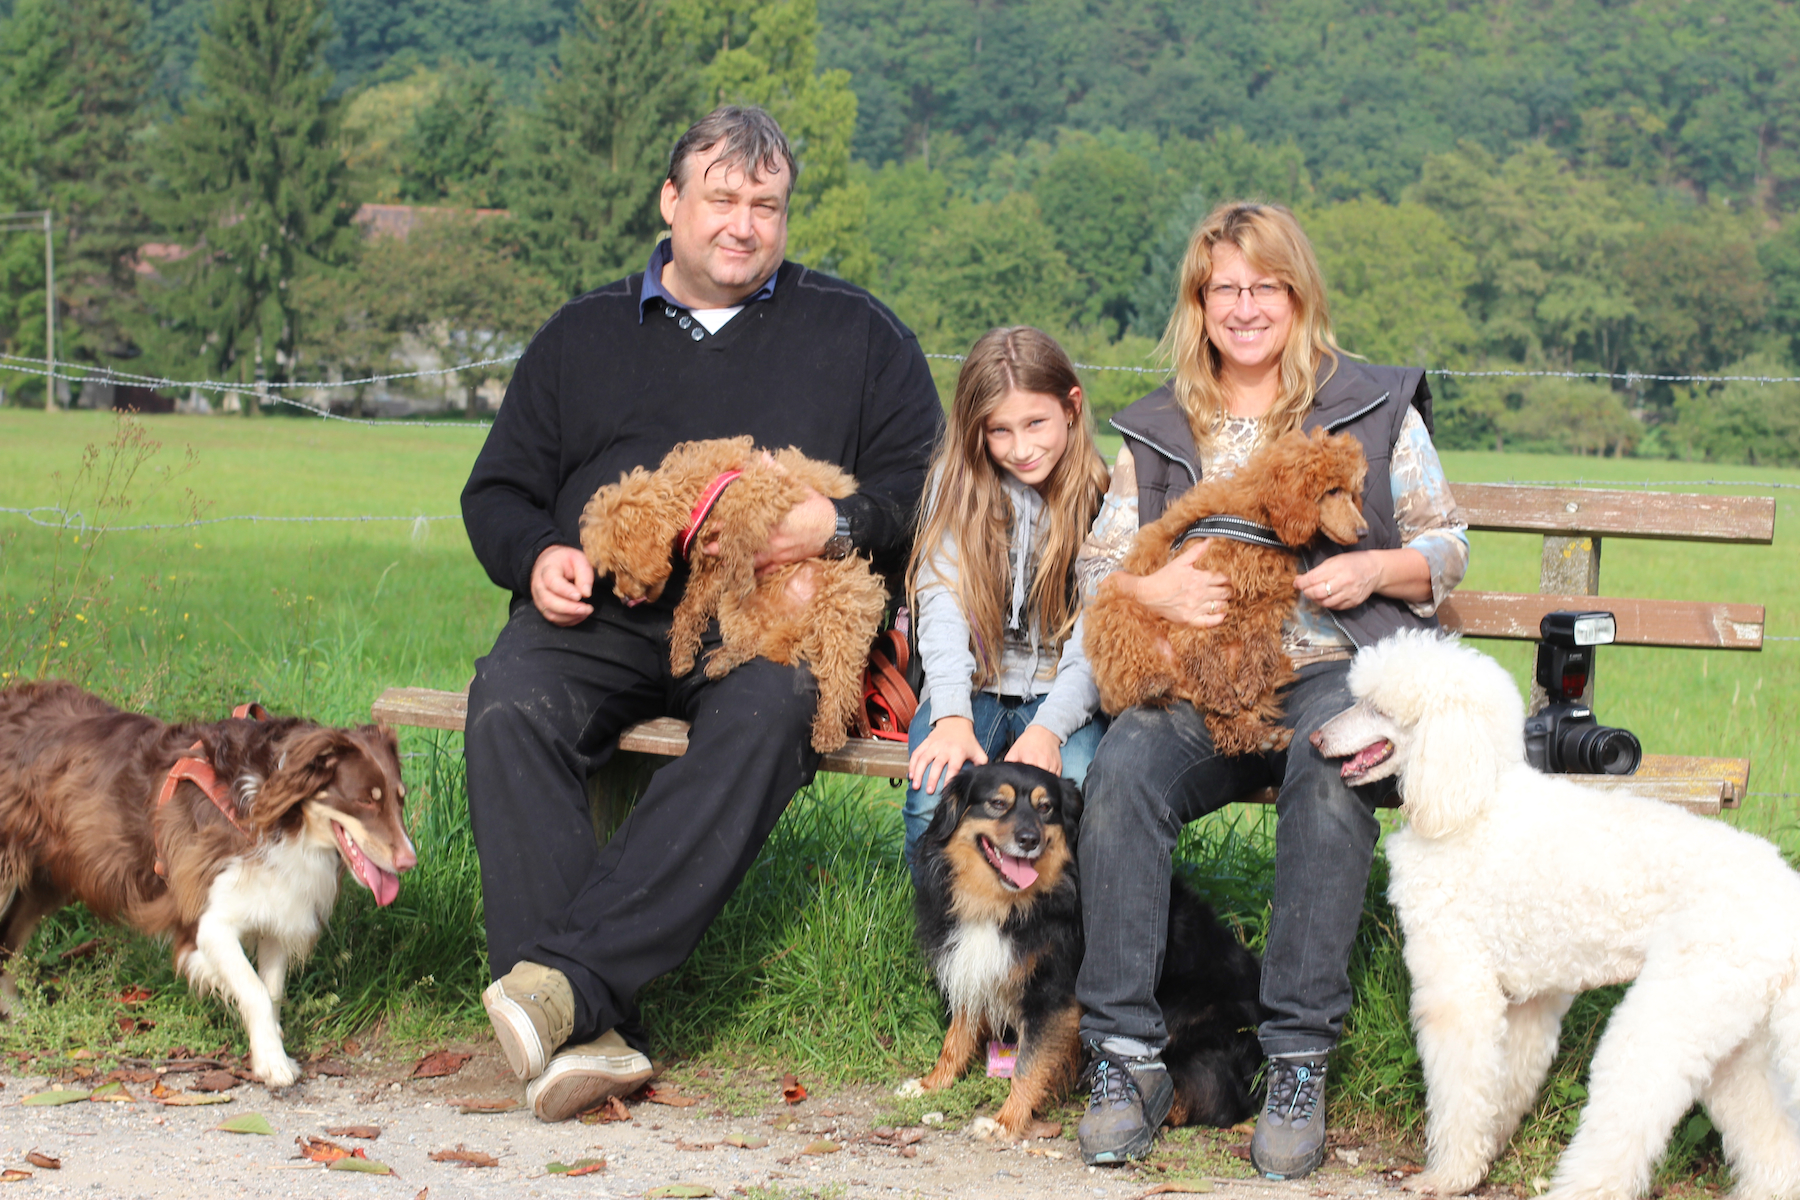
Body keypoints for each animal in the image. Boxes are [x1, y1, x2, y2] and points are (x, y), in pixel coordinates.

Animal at [0, 680, 417, 1087]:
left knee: (8, 939)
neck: (270, 812)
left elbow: (272, 991)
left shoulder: (277, 906)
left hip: (45, 878)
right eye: (366, 800)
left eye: (399, 799)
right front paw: (273, 1064)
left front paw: (269, 1048)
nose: (409, 861)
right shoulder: (207, 918)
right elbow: (253, 989)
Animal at [580, 436, 890, 753]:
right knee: (755, 641)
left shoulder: (769, 488)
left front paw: (742, 565)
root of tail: (797, 622)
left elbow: (738, 530)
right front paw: (680, 656)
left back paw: (829, 731)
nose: (623, 598)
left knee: (839, 679)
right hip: (738, 609)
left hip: (841, 609)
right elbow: (688, 607)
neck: (702, 489)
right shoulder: (712, 568)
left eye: (620, 566)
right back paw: (725, 659)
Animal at [906, 762, 1265, 1139]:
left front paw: (1005, 1121)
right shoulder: (975, 971)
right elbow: (956, 1037)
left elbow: (1028, 1064)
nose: (1029, 840)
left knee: (1203, 1099)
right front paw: (931, 1084)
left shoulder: (1054, 999)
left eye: (1046, 808)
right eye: (997, 803)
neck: (1010, 905)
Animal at [1084, 428, 1367, 756]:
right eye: (1332, 491)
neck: (1254, 523)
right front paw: (1219, 688)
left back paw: (1259, 735)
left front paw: (1250, 682)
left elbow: (1258, 643)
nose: (1363, 532)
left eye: (1353, 492)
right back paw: (1155, 682)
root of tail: (1183, 686)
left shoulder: (1266, 604)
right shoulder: (1195, 595)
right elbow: (1198, 643)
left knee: (1222, 720)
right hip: (1118, 603)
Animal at [1313, 631, 1800, 1200]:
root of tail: (1783, 895)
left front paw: (1449, 1173)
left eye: (1377, 707)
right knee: (1770, 1138)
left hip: (1674, 1010)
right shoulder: (1531, 1001)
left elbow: (1460, 1086)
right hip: (1735, 1037)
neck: (1473, 800)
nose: (1315, 740)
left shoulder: (1457, 985)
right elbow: (1503, 1083)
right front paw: (1484, 1155)